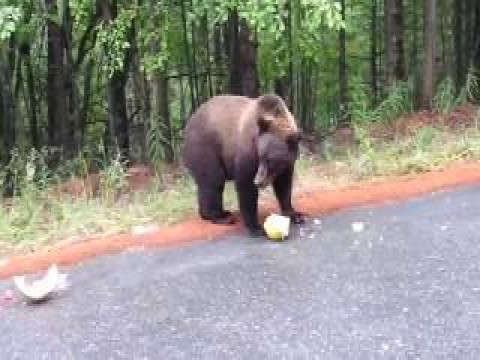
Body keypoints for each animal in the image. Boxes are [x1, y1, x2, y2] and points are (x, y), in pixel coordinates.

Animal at [182, 94, 306, 238]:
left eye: (270, 160)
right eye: (261, 157)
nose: (258, 181)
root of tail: (189, 122)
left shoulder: (286, 164)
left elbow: (284, 185)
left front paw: (295, 215)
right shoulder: (247, 150)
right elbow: (246, 186)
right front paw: (256, 227)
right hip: (206, 147)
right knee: (213, 182)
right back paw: (221, 217)